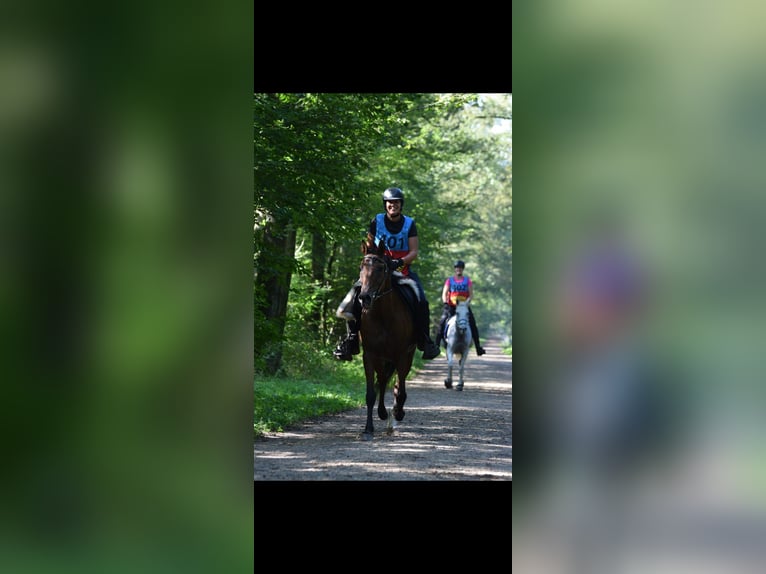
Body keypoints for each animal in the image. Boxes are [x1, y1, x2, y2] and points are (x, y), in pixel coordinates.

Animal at [356, 238, 416, 440]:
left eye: (381, 268)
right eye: (361, 267)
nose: (364, 298)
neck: (383, 316)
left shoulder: (402, 354)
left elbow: (401, 389)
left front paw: (398, 412)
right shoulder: (369, 355)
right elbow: (370, 393)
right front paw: (368, 428)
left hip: (404, 355)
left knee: (397, 383)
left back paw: (395, 412)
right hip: (382, 358)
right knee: (382, 380)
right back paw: (382, 413)